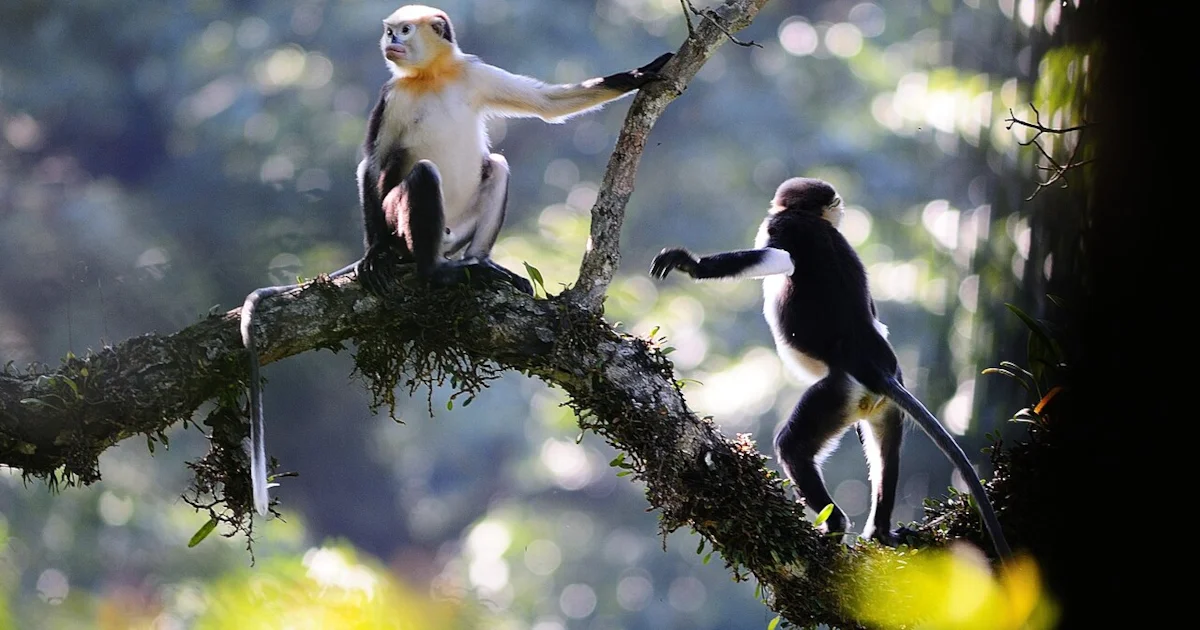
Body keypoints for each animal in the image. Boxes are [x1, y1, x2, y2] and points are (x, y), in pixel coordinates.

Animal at [241, 4, 673, 515]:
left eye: (403, 31)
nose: (390, 41)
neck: (431, 77)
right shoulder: (391, 97)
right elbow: (372, 163)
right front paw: (372, 255)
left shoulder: (473, 73)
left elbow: (546, 103)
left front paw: (642, 73)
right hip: (406, 222)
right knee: (420, 174)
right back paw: (423, 267)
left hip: (461, 227)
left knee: (498, 165)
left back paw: (482, 265)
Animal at [649, 177, 1012, 560]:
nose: (841, 209)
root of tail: (872, 365)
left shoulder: (785, 226)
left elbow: (777, 255)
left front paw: (692, 265)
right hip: (879, 403)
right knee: (886, 451)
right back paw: (881, 531)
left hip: (837, 391)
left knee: (792, 447)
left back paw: (835, 524)